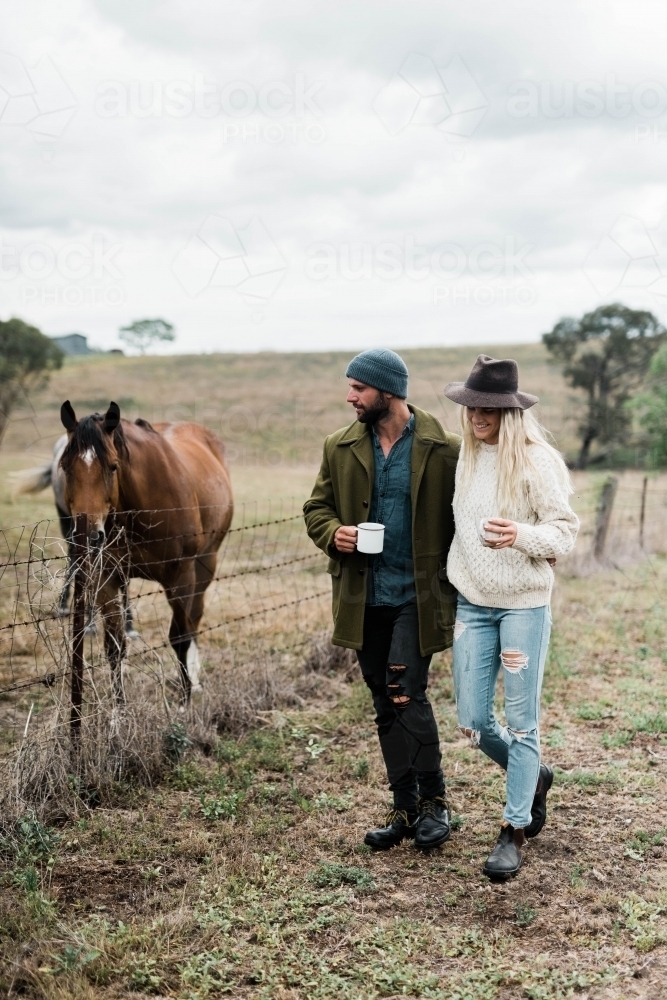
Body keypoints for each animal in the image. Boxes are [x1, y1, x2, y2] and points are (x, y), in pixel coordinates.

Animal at [58, 400, 235, 704]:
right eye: (65, 467)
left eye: (113, 467)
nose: (88, 536)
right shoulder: (106, 577)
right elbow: (114, 647)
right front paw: (119, 712)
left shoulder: (180, 575)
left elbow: (180, 637)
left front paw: (185, 703)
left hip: (205, 563)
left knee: (194, 619)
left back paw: (195, 681)